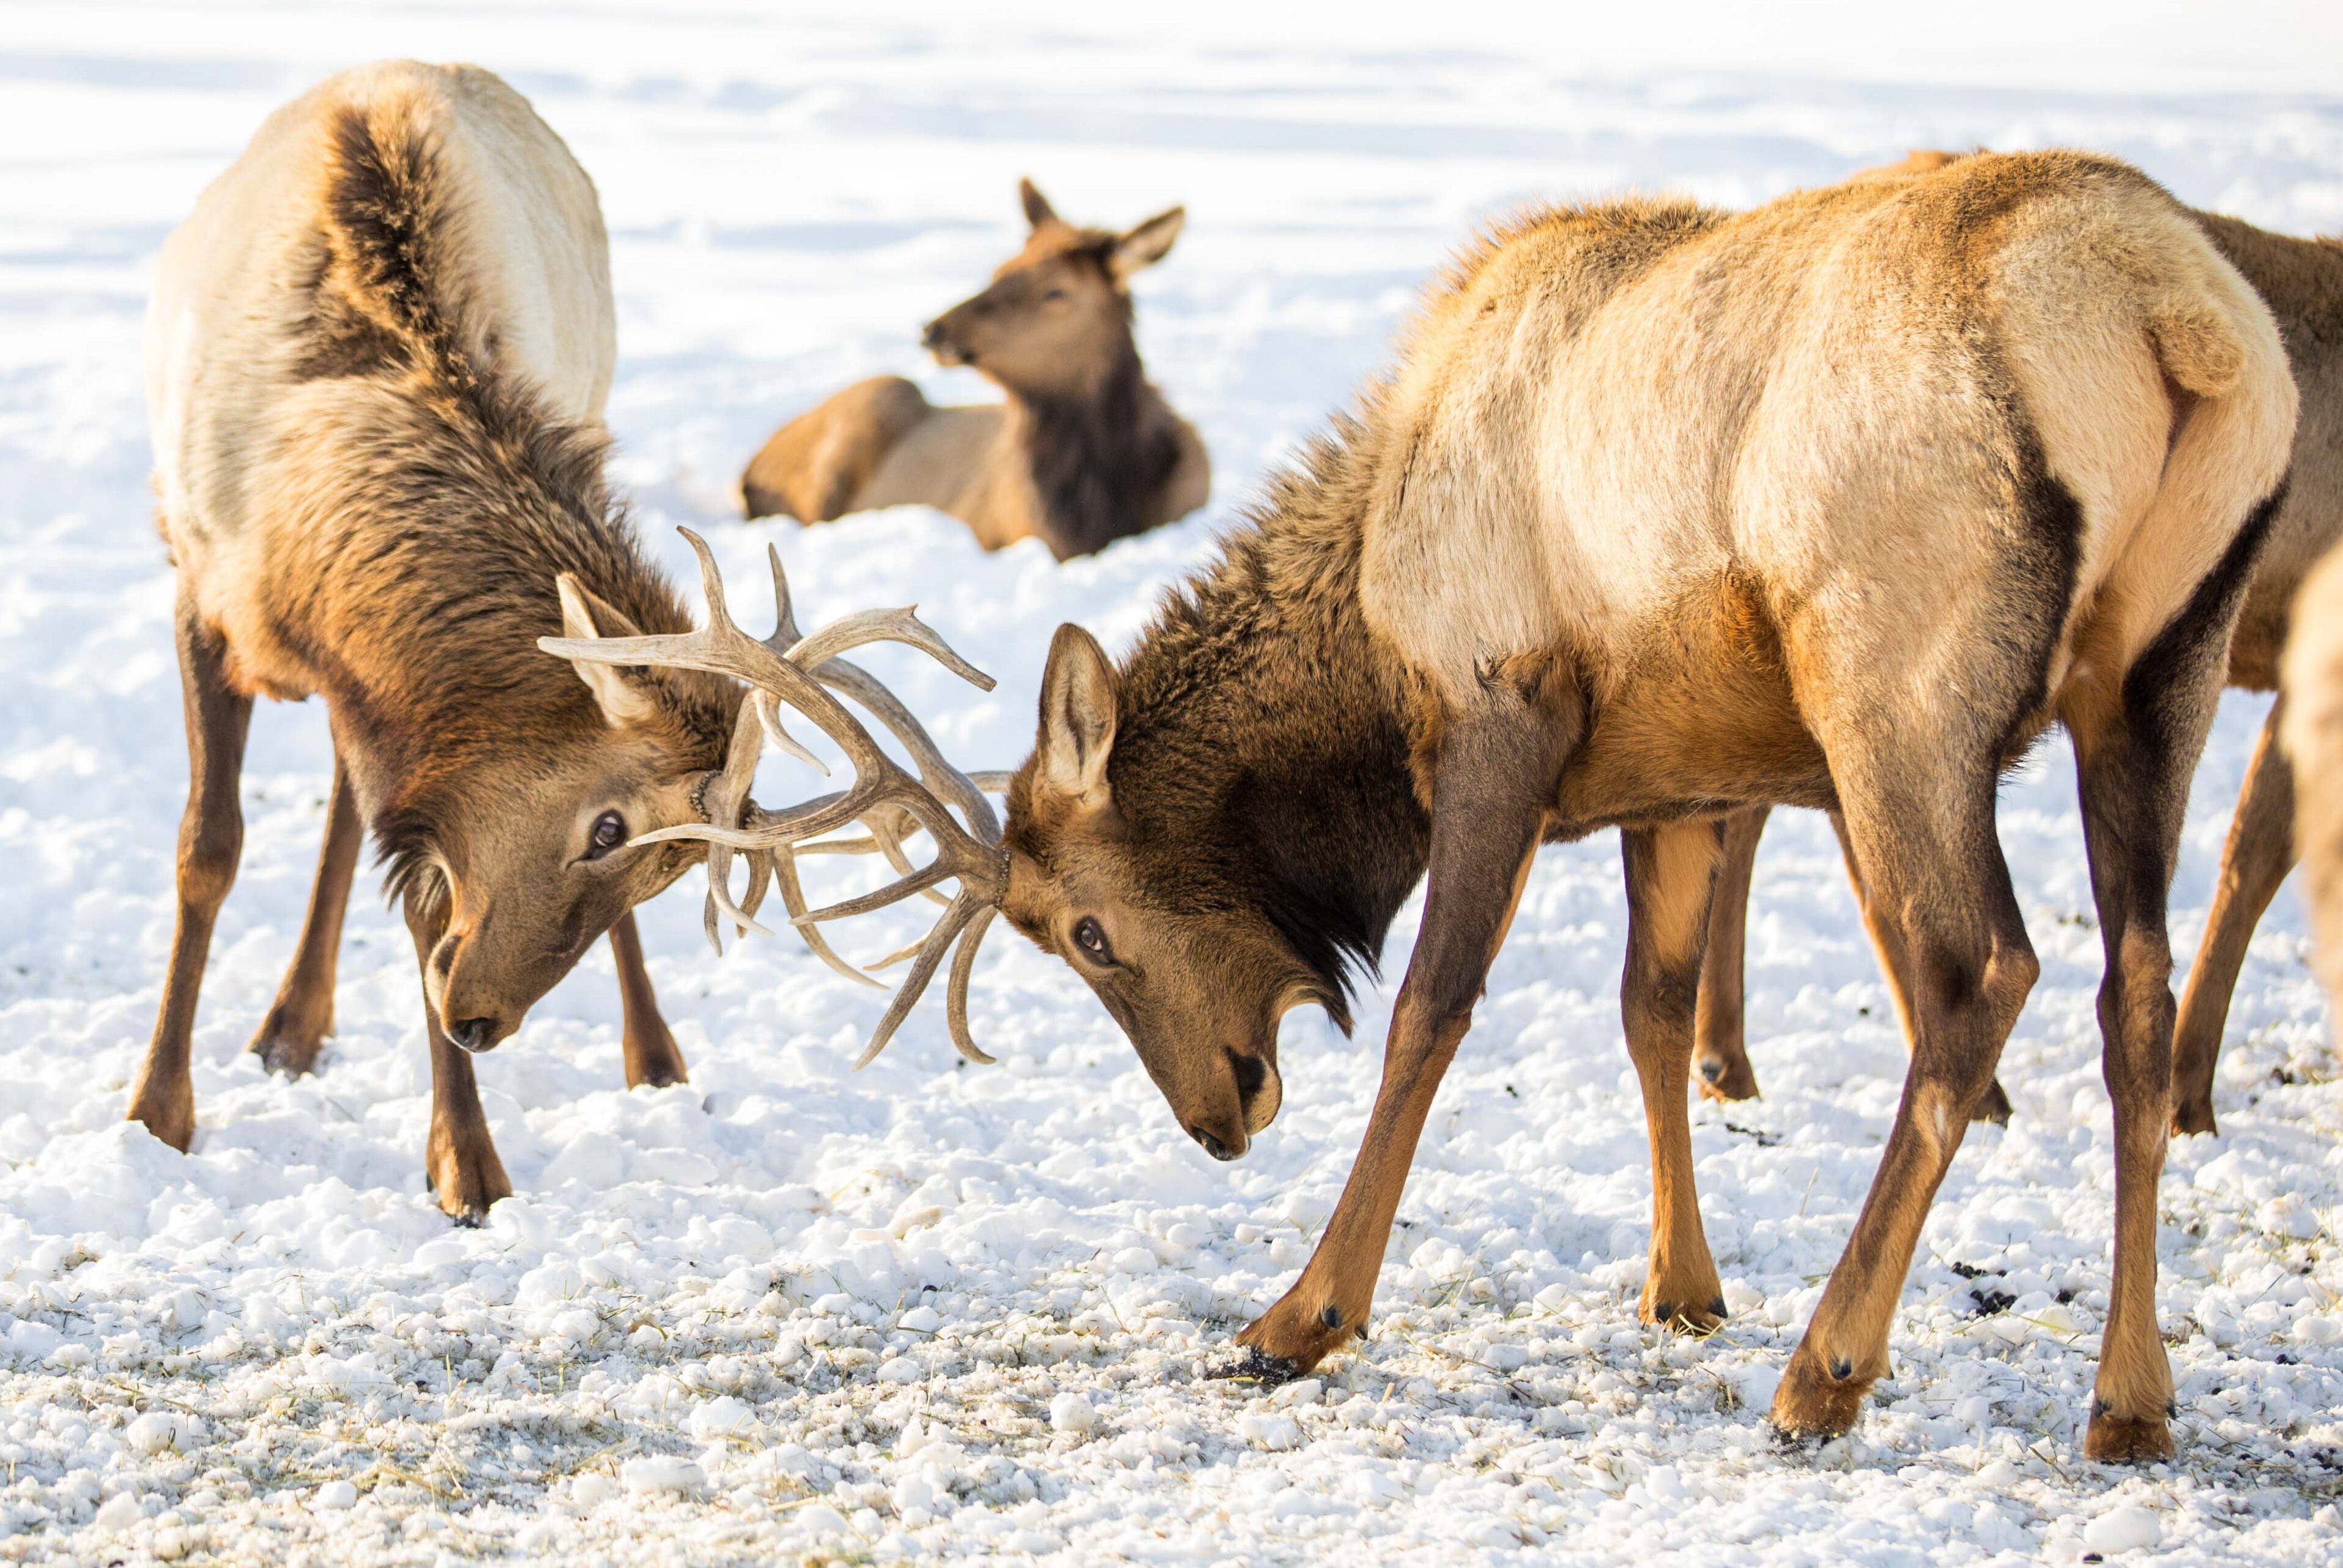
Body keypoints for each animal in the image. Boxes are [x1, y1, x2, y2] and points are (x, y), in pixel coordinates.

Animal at [132, 60, 769, 1222]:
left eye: (666, 867)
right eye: (607, 826)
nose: (478, 1019)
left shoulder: (391, 699)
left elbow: (423, 899)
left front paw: (465, 1163)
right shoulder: (200, 588)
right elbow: (209, 849)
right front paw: (157, 1109)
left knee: (359, 819)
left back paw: (650, 1053)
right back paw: (292, 1025)